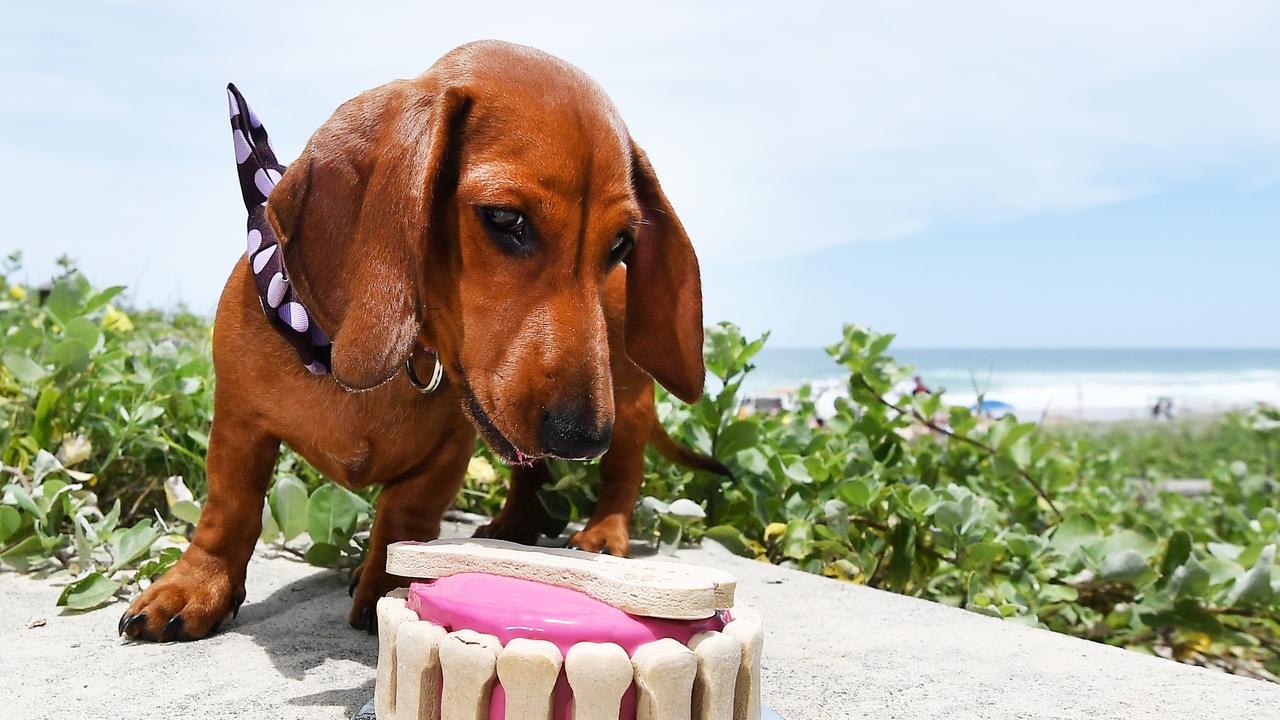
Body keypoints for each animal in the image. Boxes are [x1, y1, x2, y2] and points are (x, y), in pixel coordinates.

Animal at [117, 40, 721, 638]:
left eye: (621, 245)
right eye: (506, 219)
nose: (580, 439)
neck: (339, 357)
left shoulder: (449, 451)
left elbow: (406, 516)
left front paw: (387, 586)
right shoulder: (239, 423)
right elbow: (230, 508)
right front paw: (196, 586)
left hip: (628, 401)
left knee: (622, 473)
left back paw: (603, 532)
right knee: (533, 473)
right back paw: (514, 524)